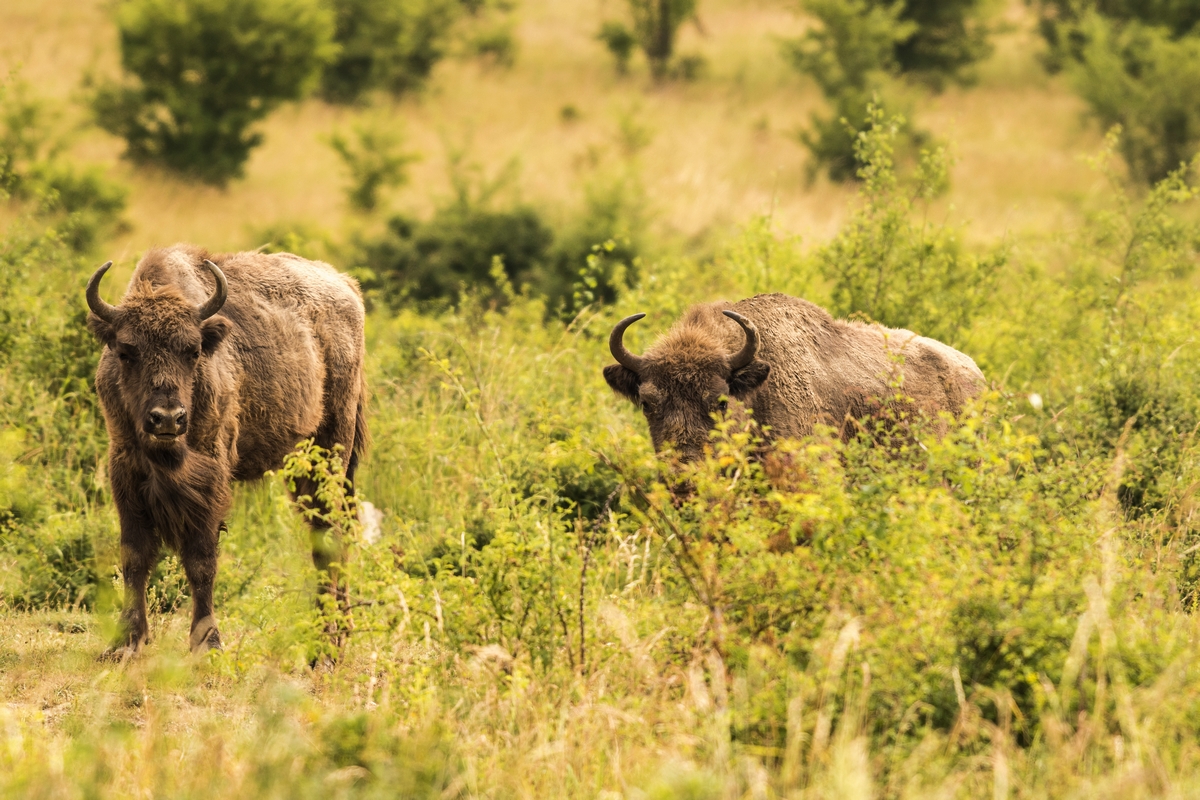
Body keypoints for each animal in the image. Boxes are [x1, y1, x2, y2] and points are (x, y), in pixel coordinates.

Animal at [86, 247, 367, 662]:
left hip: (332, 449)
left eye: (193, 351)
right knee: (332, 532)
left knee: (329, 535)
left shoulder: (210, 478)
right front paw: (126, 642)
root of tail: (347, 287)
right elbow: (134, 558)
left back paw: (324, 647)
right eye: (126, 352)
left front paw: (208, 643)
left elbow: (202, 560)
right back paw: (340, 632)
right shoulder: (126, 474)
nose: (167, 418)